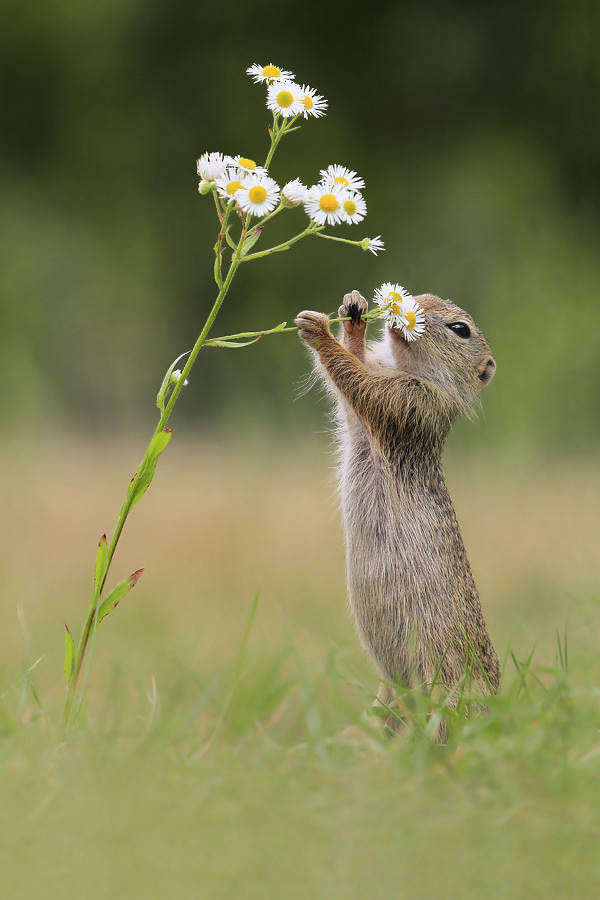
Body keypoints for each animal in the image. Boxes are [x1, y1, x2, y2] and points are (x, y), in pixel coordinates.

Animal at [296, 294, 502, 724]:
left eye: (460, 329)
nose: (413, 304)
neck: (411, 369)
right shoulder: (367, 417)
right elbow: (352, 396)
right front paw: (353, 316)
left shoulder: (410, 402)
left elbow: (359, 383)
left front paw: (319, 331)